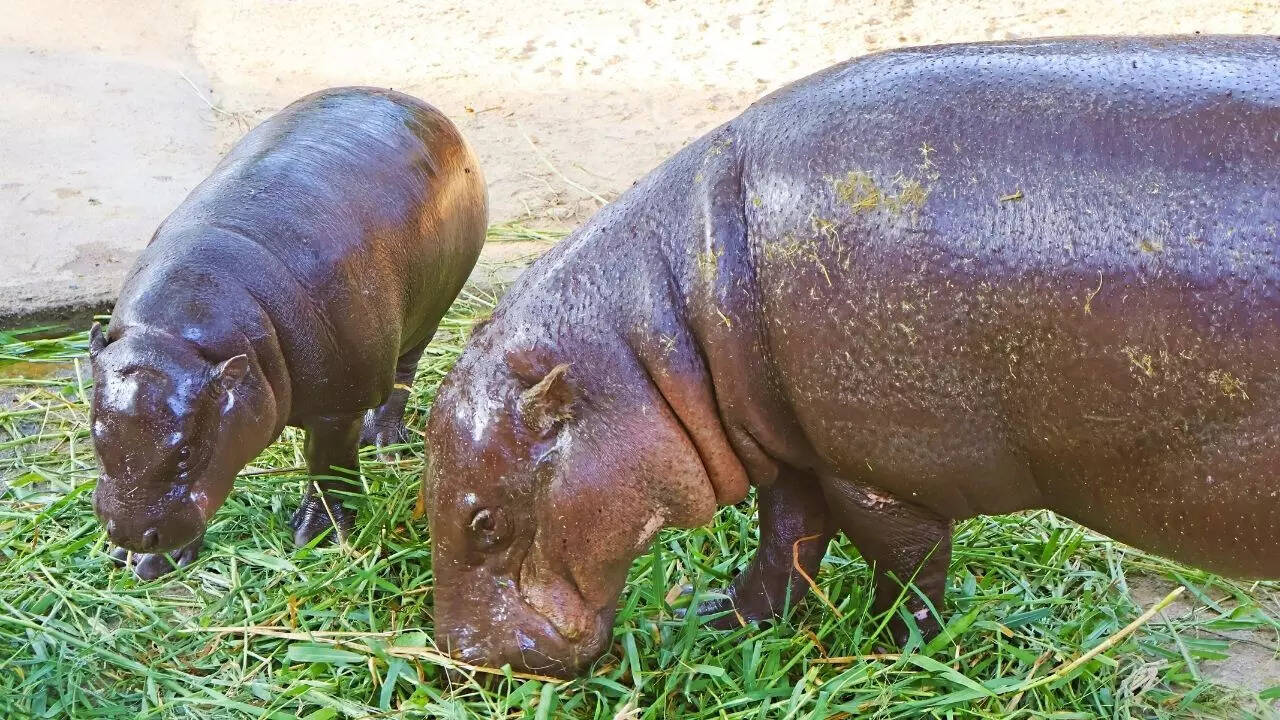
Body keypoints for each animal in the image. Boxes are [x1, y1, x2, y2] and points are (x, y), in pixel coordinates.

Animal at [90, 87, 487, 580]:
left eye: (186, 453)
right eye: (95, 437)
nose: (128, 535)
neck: (175, 341)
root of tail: (415, 102)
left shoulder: (339, 408)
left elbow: (327, 470)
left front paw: (319, 536)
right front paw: (143, 561)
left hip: (429, 314)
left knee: (402, 377)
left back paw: (384, 446)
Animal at [424, 35, 1279, 677]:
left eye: (485, 522)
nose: (468, 659)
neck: (655, 336)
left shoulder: (879, 473)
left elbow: (904, 568)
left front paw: (895, 657)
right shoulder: (795, 448)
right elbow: (785, 544)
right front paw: (711, 617)